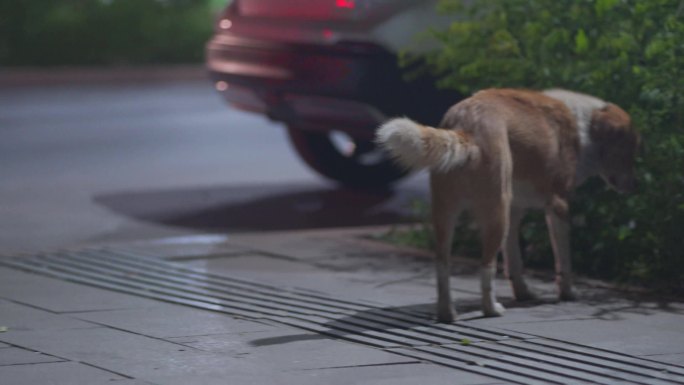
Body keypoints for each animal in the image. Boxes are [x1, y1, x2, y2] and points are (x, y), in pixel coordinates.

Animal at [376, 88, 640, 320]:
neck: (585, 127)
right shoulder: (558, 206)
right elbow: (563, 259)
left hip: (445, 214)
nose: (634, 187)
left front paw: (523, 293)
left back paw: (447, 314)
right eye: (629, 152)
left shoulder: (515, 212)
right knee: (486, 266)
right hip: (496, 213)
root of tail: (465, 126)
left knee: (443, 264)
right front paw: (568, 293)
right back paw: (490, 309)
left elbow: (514, 260)